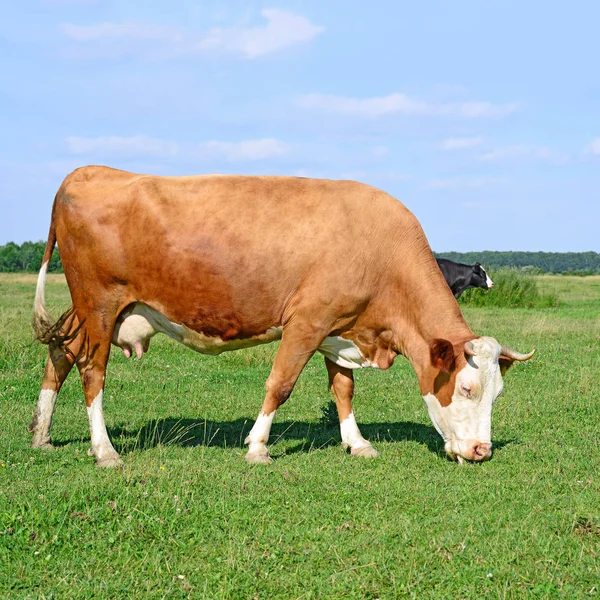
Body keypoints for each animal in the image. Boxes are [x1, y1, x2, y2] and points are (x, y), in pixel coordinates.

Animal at [30, 166, 536, 466]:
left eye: (498, 393)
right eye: (467, 388)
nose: (482, 450)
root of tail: (88, 171)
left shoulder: (340, 327)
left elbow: (343, 389)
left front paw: (357, 443)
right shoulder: (308, 321)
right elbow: (281, 384)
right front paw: (257, 447)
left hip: (89, 310)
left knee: (61, 352)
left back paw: (41, 434)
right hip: (99, 304)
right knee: (92, 371)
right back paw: (104, 450)